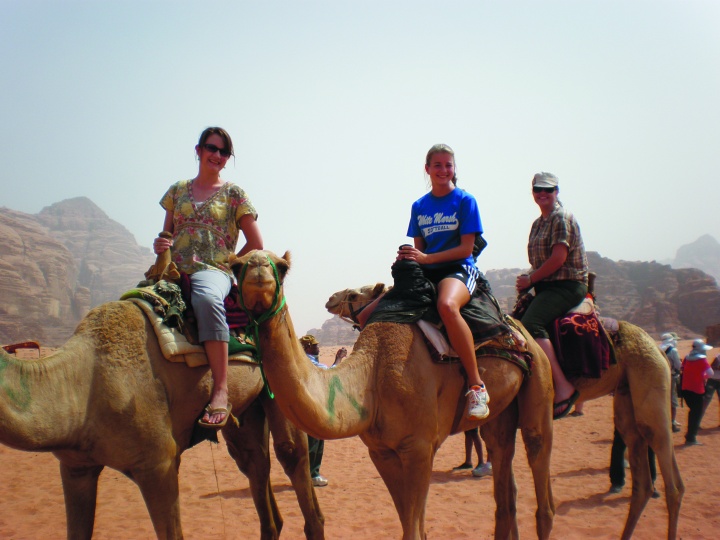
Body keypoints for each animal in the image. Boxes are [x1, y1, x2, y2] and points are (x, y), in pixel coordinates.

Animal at [328, 282, 688, 540]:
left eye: (355, 294)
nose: (331, 298)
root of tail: (656, 345)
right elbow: (509, 495)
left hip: (647, 377)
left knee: (669, 474)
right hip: (626, 398)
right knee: (639, 469)